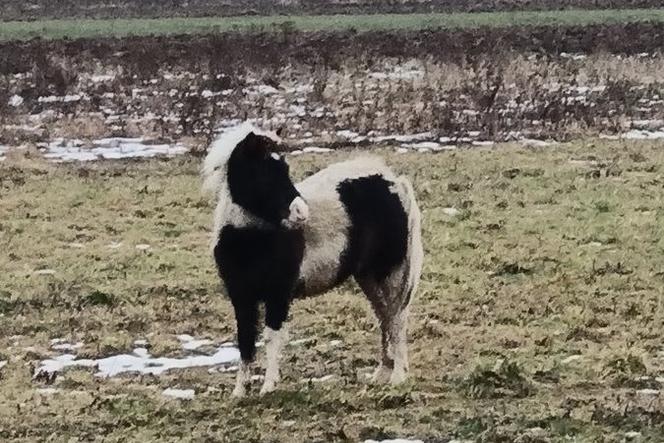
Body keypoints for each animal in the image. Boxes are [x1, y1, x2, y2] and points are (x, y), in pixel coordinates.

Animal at [200, 122, 422, 398]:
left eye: (284, 169)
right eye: (263, 171)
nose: (300, 212)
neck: (251, 238)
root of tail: (394, 182)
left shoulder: (278, 295)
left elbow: (272, 337)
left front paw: (268, 387)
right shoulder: (241, 297)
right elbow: (245, 340)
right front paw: (240, 392)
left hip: (390, 272)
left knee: (397, 318)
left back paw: (398, 377)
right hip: (368, 276)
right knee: (384, 317)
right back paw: (381, 373)